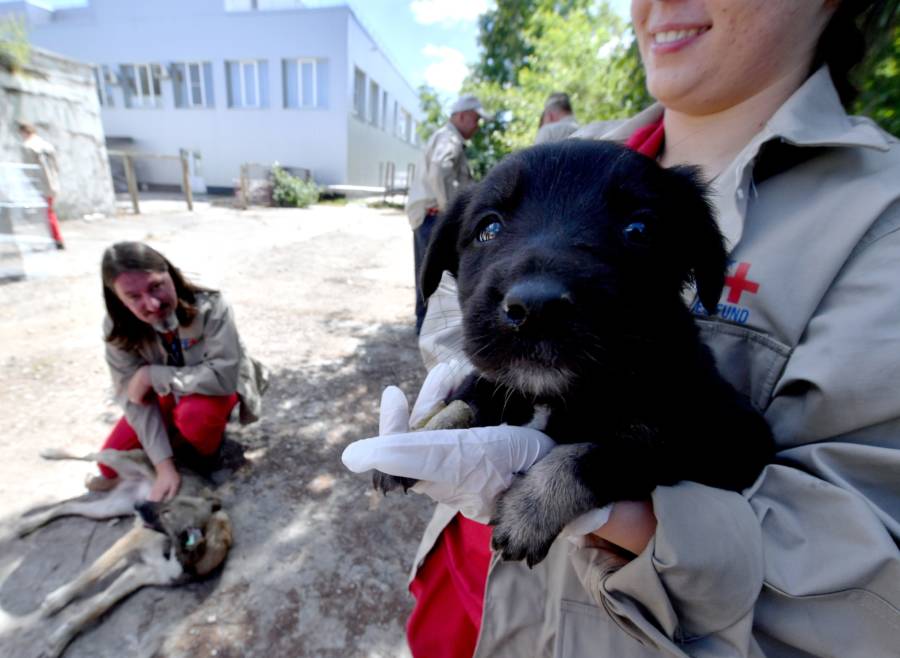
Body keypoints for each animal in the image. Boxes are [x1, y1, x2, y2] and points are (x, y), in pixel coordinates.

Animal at [17, 448, 232, 652]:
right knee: (89, 455)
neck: (172, 552)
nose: (139, 504)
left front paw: (61, 639)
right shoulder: (131, 541)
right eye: (169, 500)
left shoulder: (140, 574)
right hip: (115, 459)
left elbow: (98, 606)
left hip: (107, 509)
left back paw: (27, 524)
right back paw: (51, 453)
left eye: (167, 513)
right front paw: (57, 600)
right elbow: (92, 573)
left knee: (68, 506)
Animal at [384, 138, 768, 564]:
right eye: (489, 228)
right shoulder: (502, 380)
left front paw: (532, 508)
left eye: (639, 230)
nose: (536, 309)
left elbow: (609, 448)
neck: (559, 394)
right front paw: (421, 433)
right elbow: (467, 399)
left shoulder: (725, 436)